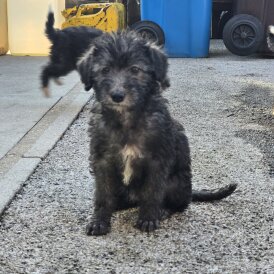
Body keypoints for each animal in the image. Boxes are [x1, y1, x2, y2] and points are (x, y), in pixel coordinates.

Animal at [77, 30, 238, 235]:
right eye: (105, 70)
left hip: (176, 183)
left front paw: (148, 218)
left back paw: (163, 210)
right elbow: (103, 194)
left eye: (135, 69)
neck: (126, 120)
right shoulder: (102, 160)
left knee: (181, 204)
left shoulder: (156, 160)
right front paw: (99, 220)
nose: (117, 96)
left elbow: (152, 192)